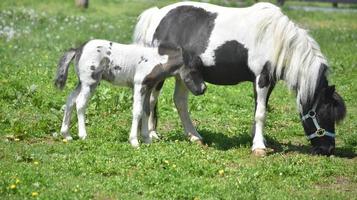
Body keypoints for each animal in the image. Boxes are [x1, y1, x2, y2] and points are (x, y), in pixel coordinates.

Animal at [53, 40, 203, 147]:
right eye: (193, 70)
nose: (202, 89)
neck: (155, 60)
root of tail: (78, 49)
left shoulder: (148, 88)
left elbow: (146, 111)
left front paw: (147, 139)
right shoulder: (138, 86)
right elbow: (137, 111)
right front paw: (134, 141)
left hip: (83, 82)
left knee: (70, 99)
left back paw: (66, 134)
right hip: (90, 82)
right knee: (80, 103)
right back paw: (83, 135)